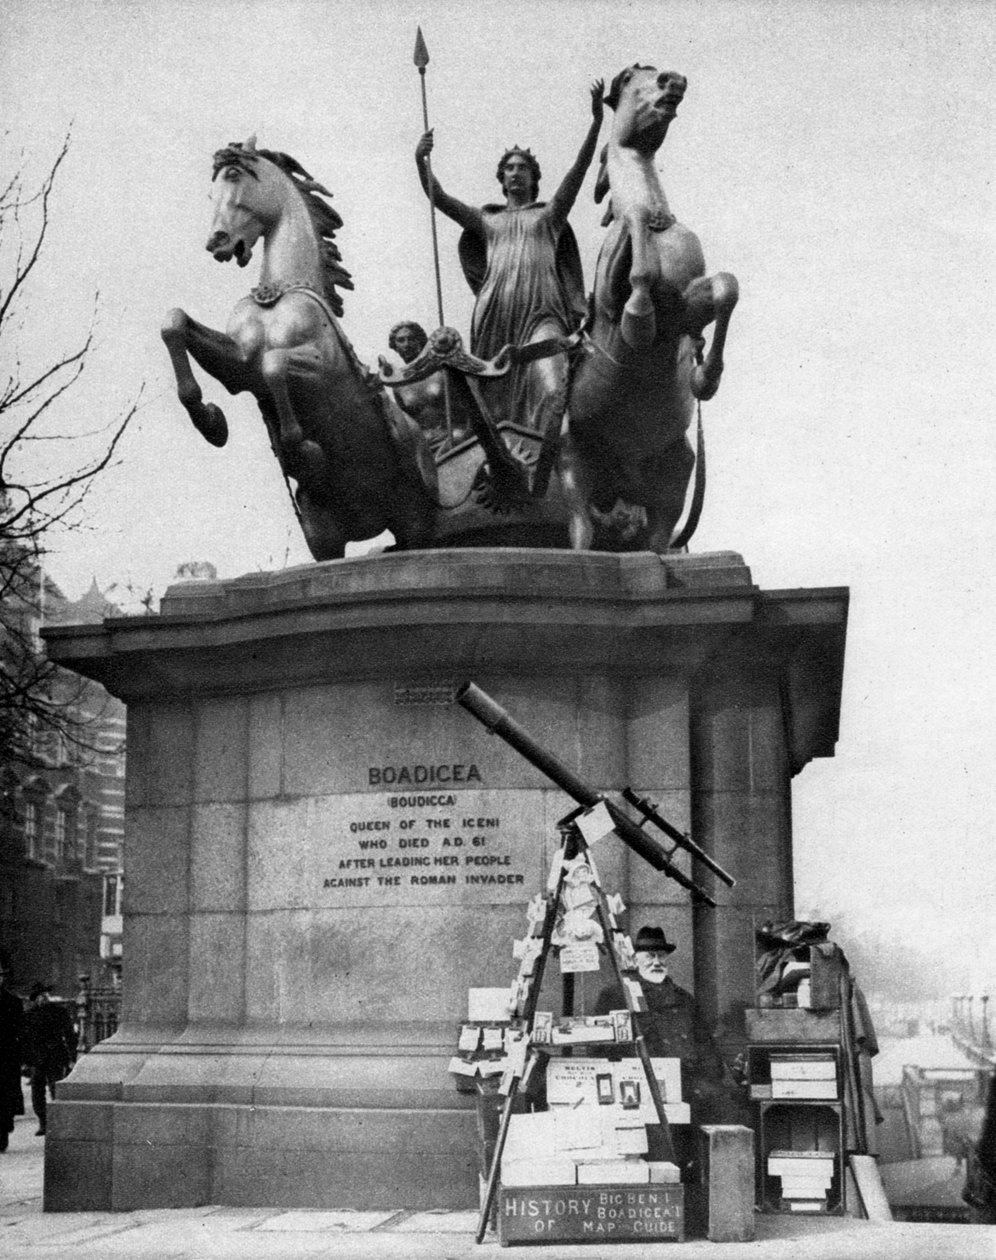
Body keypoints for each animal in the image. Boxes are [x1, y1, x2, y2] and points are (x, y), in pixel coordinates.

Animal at [162, 140, 436, 559]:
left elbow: (274, 365)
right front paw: (210, 421)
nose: (217, 242)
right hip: (323, 535)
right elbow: (174, 323)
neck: (277, 296)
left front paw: (302, 449)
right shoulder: (239, 365)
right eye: (210, 194)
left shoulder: (318, 369)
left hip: (415, 519)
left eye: (234, 176)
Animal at [564, 66, 736, 551]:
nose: (673, 79)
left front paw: (706, 375)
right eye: (630, 77)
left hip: (677, 471)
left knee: (658, 537)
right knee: (581, 526)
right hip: (572, 463)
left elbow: (726, 288)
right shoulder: (610, 298)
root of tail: (620, 485)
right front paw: (639, 318)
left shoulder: (686, 308)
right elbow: (635, 231)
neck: (663, 231)